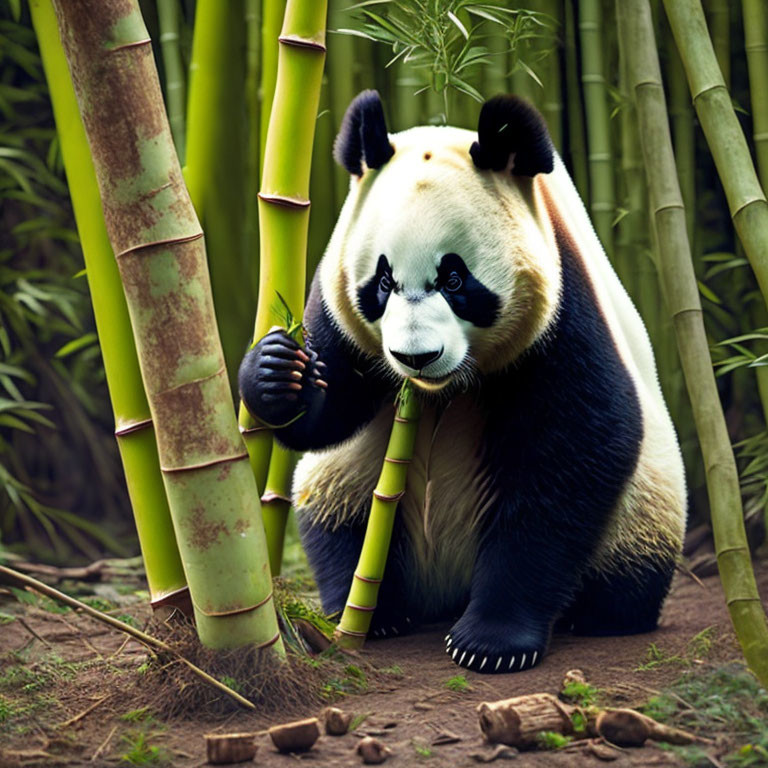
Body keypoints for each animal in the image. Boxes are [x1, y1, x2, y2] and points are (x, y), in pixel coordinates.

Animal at [238, 93, 684, 676]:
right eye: (383, 281)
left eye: (454, 279)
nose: (416, 357)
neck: (444, 390)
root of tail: (444, 590)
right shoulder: (337, 305)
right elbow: (328, 410)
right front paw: (276, 372)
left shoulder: (561, 312)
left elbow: (576, 448)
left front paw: (491, 643)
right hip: (352, 485)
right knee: (342, 522)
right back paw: (374, 612)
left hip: (644, 506)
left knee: (629, 559)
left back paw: (599, 616)